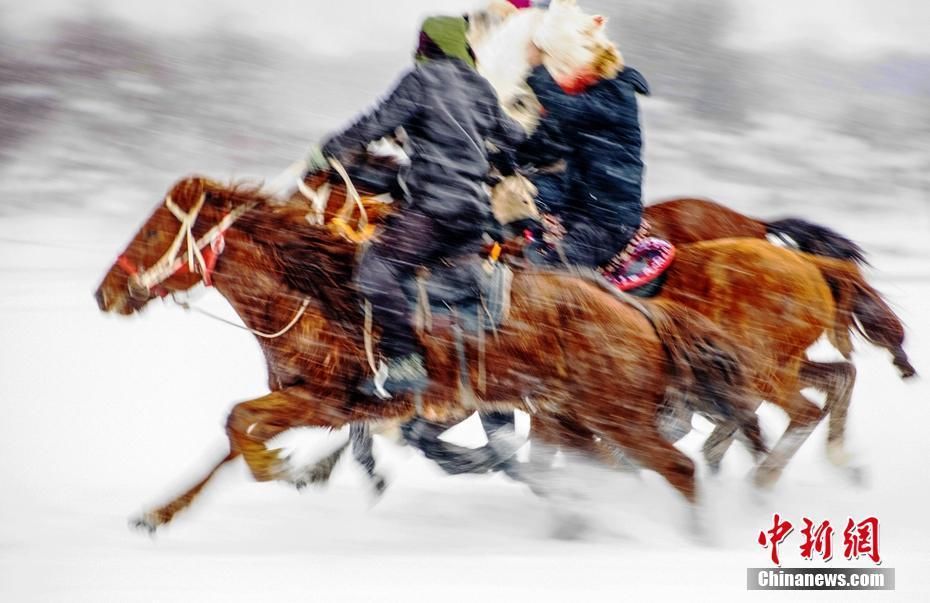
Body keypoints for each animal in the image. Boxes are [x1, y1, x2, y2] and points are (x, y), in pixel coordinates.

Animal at [96, 176, 760, 532]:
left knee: (679, 467)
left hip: (616, 417)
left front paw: (284, 469)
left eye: (155, 231)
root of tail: (638, 311)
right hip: (576, 419)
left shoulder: (331, 401)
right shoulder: (313, 401)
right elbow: (234, 435)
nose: (105, 293)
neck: (313, 293)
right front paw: (160, 514)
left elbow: (239, 423)